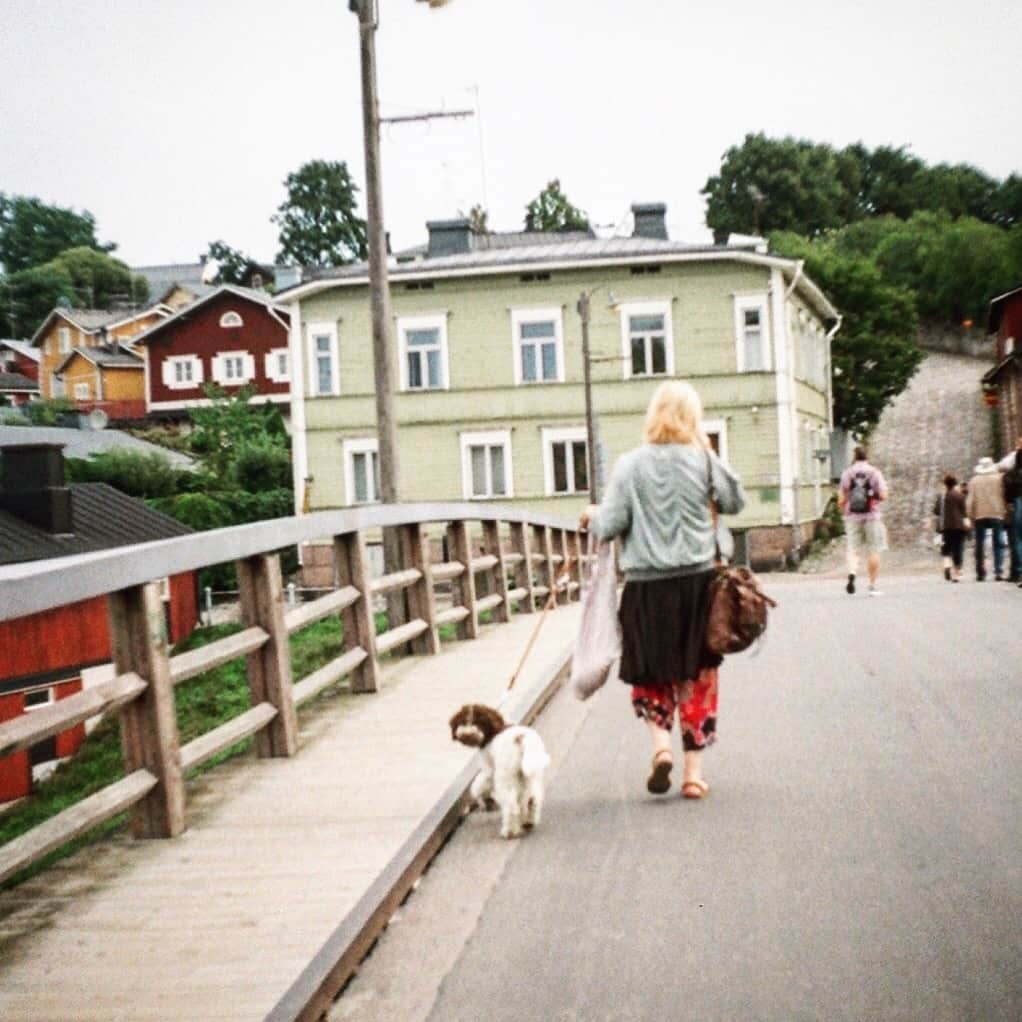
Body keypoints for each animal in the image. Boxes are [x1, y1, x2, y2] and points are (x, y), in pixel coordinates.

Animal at [449, 703, 551, 838]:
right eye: (464, 722)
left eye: (478, 723)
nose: (469, 736)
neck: (495, 730)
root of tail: (521, 739)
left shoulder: (489, 769)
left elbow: (478, 785)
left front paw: (484, 799)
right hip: (531, 774)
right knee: (532, 798)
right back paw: (528, 821)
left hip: (505, 776)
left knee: (511, 806)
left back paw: (509, 831)